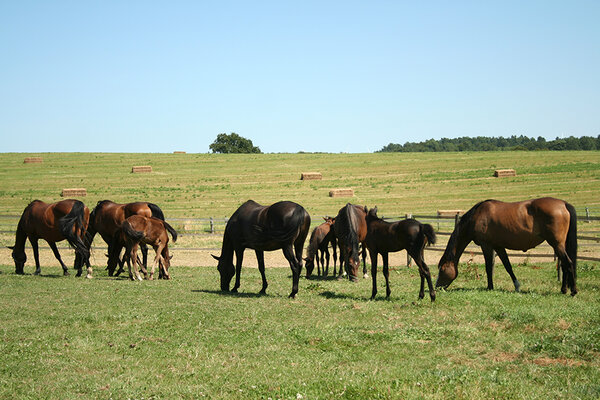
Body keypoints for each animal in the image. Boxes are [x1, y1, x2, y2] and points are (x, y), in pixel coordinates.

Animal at [434, 198, 580, 296]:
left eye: (441, 269)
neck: (477, 216)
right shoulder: (499, 247)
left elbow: (488, 267)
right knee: (564, 265)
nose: (436, 288)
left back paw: (573, 291)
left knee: (568, 263)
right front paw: (517, 286)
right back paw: (564, 290)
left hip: (556, 244)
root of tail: (564, 204)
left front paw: (490, 287)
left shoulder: (486, 246)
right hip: (560, 245)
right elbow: (508, 267)